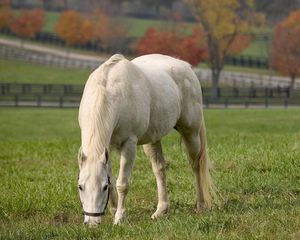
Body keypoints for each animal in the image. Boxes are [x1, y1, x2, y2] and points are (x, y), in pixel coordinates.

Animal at [77, 53, 213, 226]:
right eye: (80, 186)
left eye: (103, 187)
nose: (92, 222)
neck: (110, 92)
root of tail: (186, 66)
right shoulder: (106, 147)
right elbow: (112, 177)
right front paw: (113, 211)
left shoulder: (129, 144)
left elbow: (122, 183)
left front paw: (120, 217)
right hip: (153, 140)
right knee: (159, 170)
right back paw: (161, 211)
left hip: (191, 133)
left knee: (196, 166)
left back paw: (201, 205)